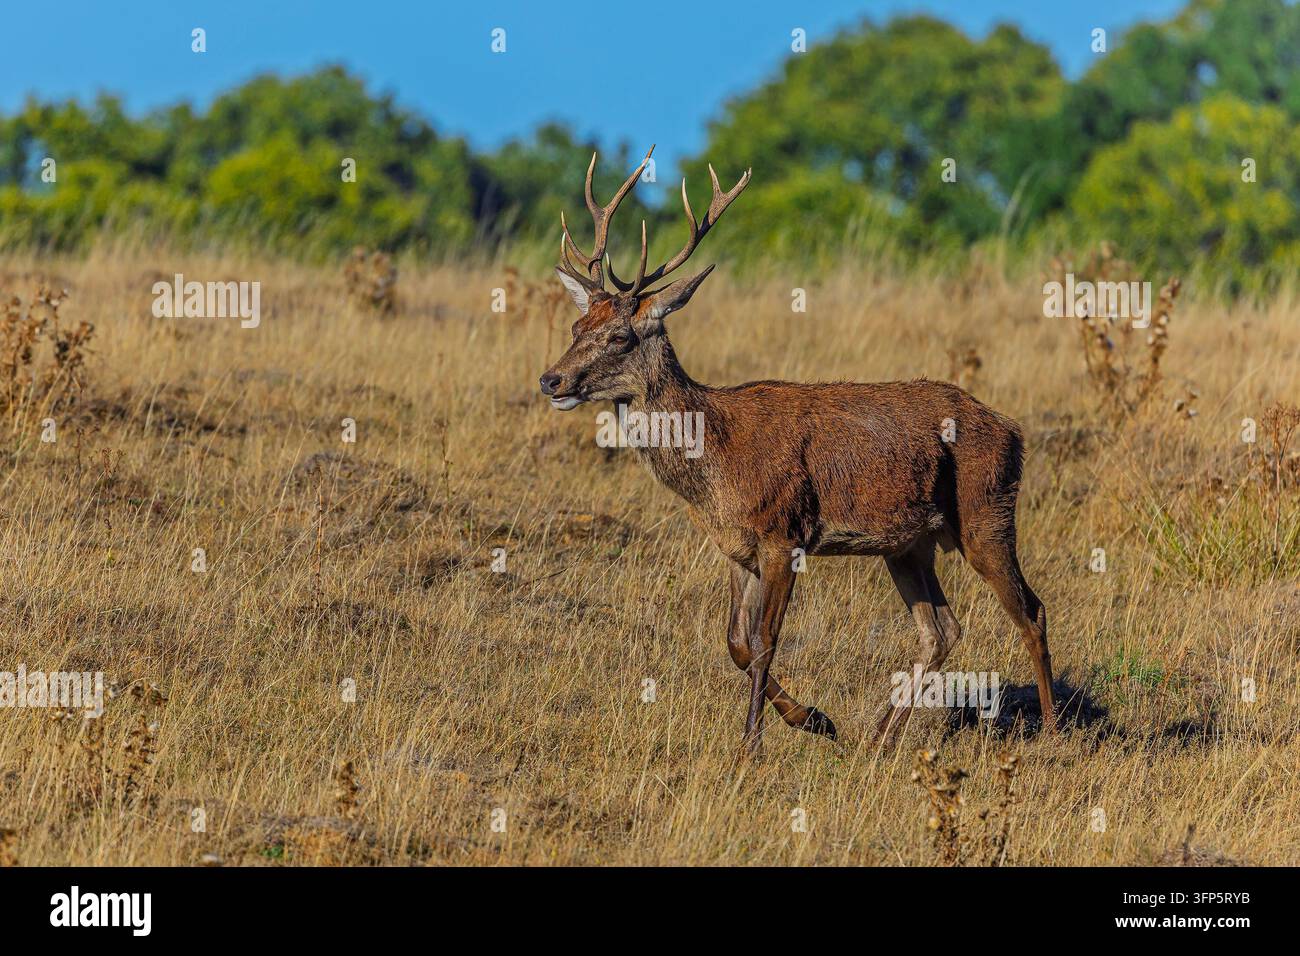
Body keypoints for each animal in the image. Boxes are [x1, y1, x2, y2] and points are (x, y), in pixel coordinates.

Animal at [539, 146, 1056, 755]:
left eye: (620, 335)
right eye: (578, 324)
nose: (551, 379)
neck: (715, 465)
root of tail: (1013, 430)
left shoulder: (783, 532)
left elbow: (765, 640)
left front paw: (752, 744)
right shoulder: (736, 547)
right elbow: (736, 642)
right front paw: (816, 718)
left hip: (986, 513)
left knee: (1031, 612)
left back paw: (1054, 731)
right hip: (909, 544)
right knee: (942, 630)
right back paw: (877, 737)